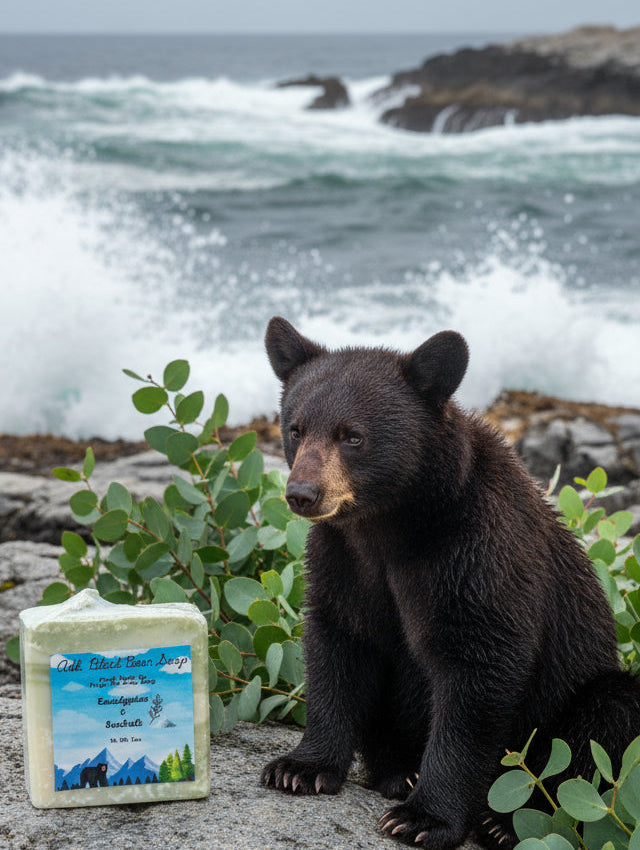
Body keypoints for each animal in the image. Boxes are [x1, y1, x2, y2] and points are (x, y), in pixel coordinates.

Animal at [260, 316, 640, 850]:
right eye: (295, 428)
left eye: (352, 435)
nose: (301, 493)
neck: (390, 524)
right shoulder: (343, 559)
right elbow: (338, 643)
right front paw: (300, 767)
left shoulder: (477, 553)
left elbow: (478, 669)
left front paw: (423, 817)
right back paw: (400, 771)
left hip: (575, 698)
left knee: (608, 717)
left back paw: (503, 821)